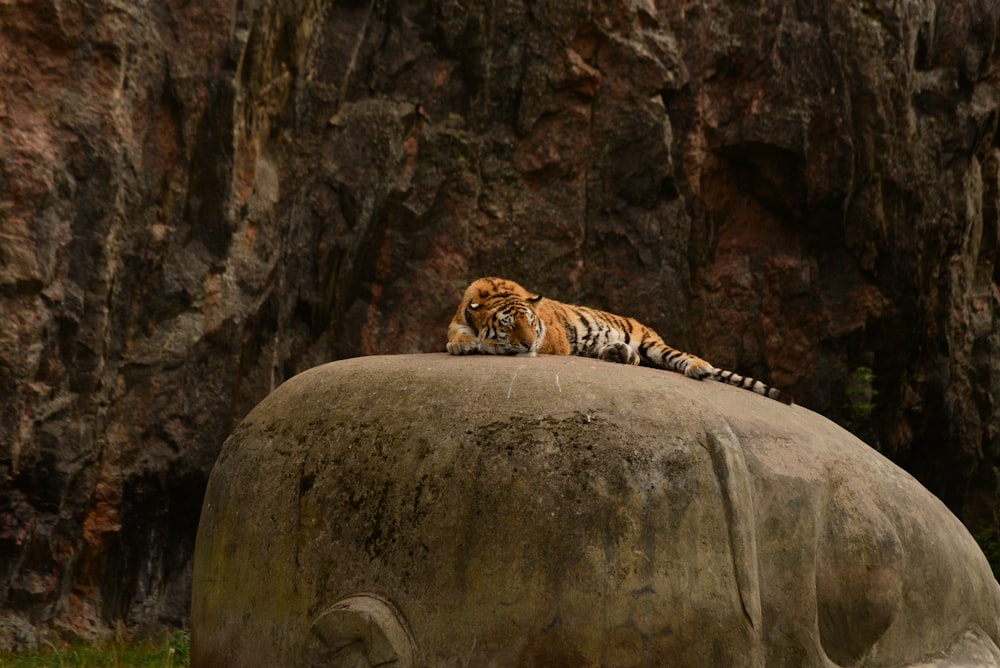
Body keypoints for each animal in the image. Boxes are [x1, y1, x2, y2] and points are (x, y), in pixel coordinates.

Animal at [450, 276, 792, 404]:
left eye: (531, 324)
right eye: (508, 324)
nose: (527, 343)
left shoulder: (552, 339)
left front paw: (487, 344)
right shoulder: (460, 317)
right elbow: (455, 333)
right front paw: (461, 344)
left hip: (654, 344)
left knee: (677, 357)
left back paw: (698, 367)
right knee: (635, 358)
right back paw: (615, 352)